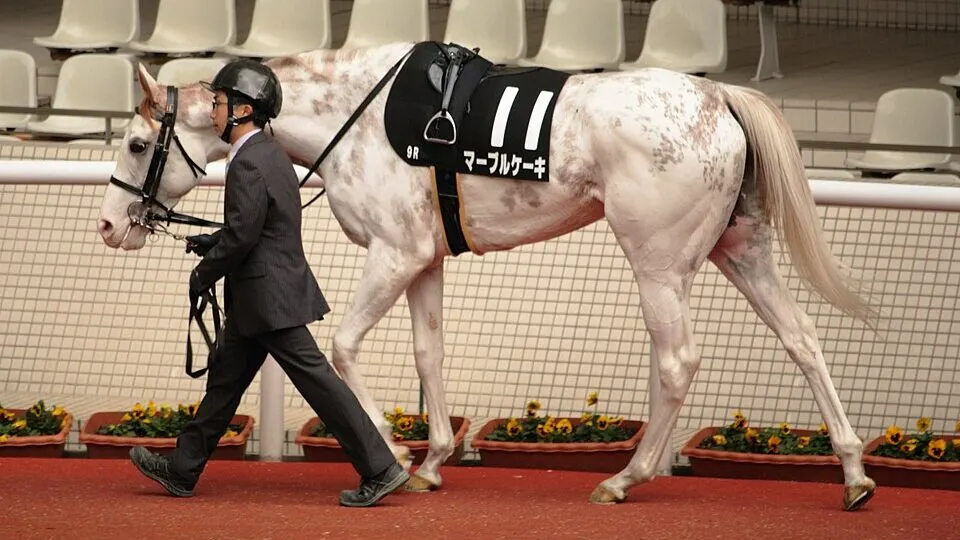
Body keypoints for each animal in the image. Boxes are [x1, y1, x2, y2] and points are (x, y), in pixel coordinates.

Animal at [97, 41, 879, 509]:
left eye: (136, 143)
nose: (107, 227)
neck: (358, 119)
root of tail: (719, 101)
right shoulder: (425, 259)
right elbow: (428, 353)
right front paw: (434, 458)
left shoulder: (394, 252)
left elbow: (343, 346)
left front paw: (392, 454)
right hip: (740, 249)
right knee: (803, 339)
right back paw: (852, 473)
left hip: (658, 260)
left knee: (678, 359)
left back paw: (627, 476)